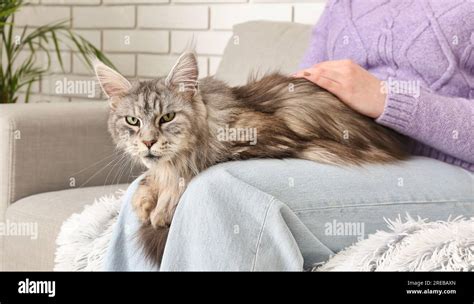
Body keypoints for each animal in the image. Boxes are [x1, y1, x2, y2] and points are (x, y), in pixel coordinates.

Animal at [95, 51, 408, 264]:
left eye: (167, 117)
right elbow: (151, 176)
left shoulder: (268, 140)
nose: (148, 142)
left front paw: (163, 205)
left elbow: (191, 172)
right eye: (133, 121)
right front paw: (146, 197)